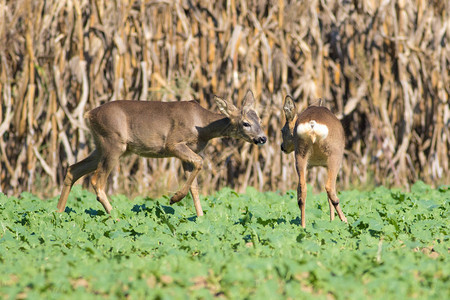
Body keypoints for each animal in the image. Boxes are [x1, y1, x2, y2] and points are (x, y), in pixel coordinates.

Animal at [57, 90, 268, 217]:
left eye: (260, 121)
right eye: (245, 123)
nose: (262, 138)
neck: (202, 126)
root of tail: (89, 114)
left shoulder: (187, 153)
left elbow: (195, 186)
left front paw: (200, 218)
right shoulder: (173, 143)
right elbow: (200, 163)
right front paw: (174, 198)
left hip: (101, 146)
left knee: (73, 169)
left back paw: (58, 213)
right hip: (113, 143)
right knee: (96, 181)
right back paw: (116, 217)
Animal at [282, 96, 348, 227]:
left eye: (282, 130)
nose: (282, 147)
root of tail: (312, 124)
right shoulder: (328, 163)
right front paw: (332, 221)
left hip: (300, 154)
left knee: (302, 190)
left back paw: (303, 226)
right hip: (335, 155)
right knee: (330, 188)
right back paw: (345, 221)